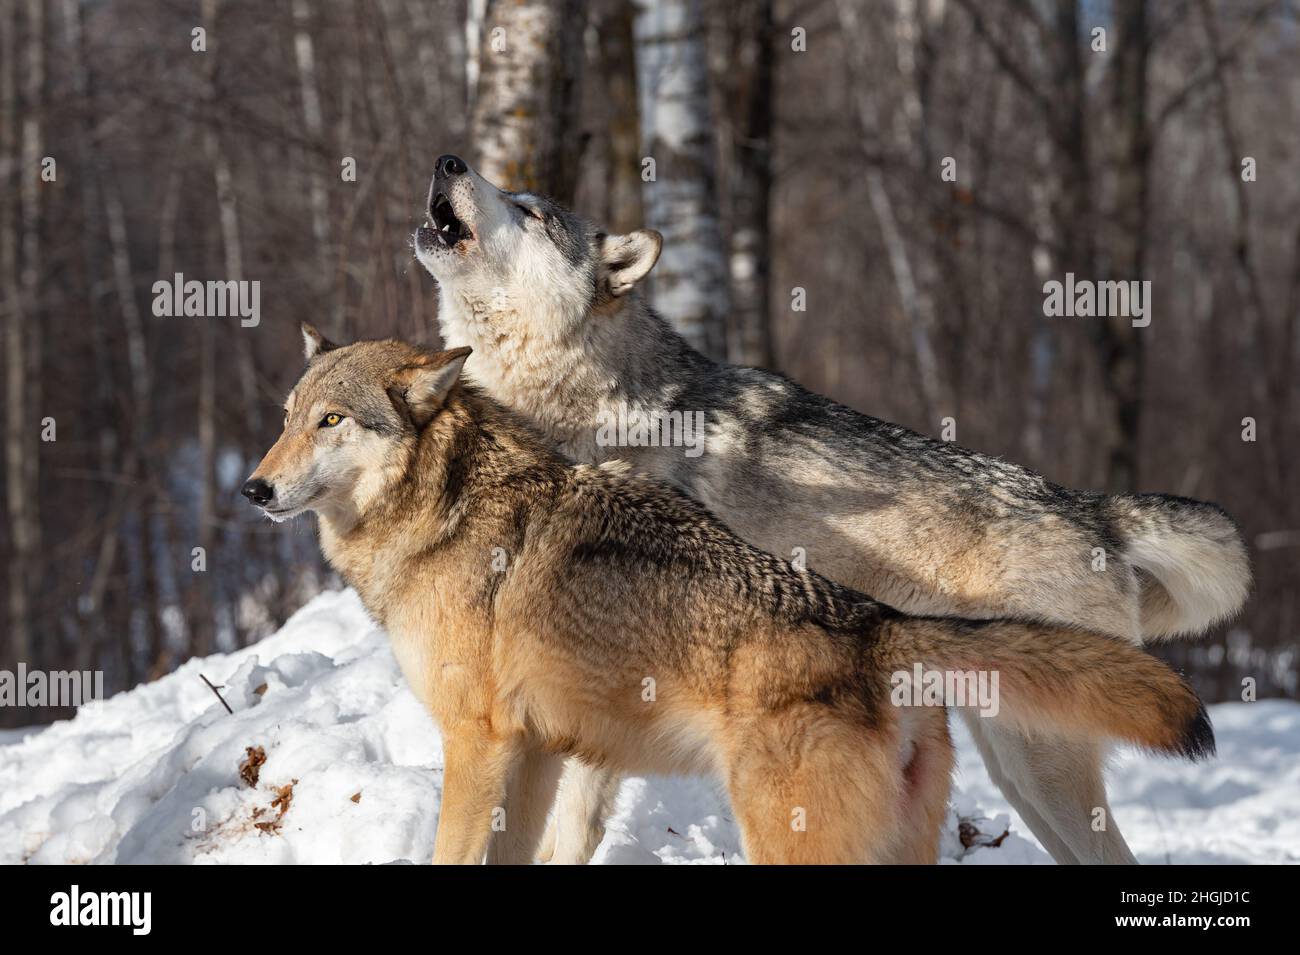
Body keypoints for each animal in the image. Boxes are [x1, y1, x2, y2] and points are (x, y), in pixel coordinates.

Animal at [242, 329, 1213, 864]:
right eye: (286, 417)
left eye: (332, 420)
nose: (252, 488)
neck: (444, 506)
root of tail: (881, 627)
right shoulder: (540, 751)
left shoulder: (478, 744)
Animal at [412, 155, 1251, 865]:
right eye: (513, 191)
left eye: (530, 210)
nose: (447, 161)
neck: (584, 401)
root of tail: (1096, 510)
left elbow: (570, 823)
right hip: (1016, 762)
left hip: (1037, 760)